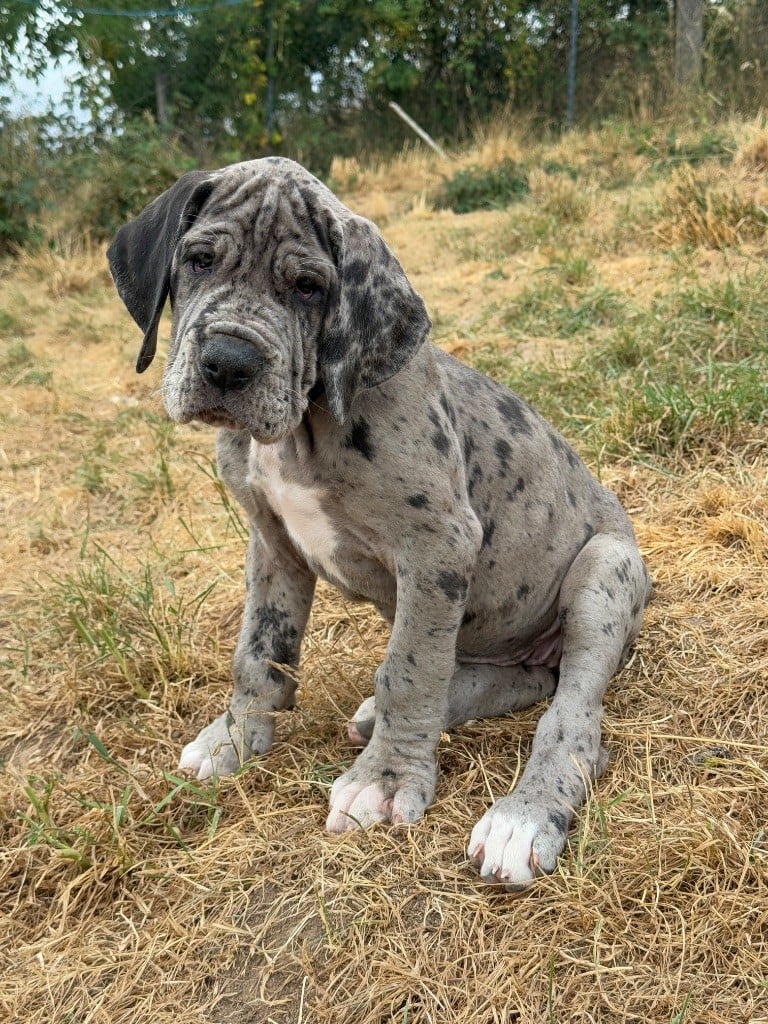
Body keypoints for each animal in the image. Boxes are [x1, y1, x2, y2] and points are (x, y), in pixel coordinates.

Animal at [108, 157, 650, 889]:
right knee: (518, 680)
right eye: (198, 260)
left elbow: (409, 670)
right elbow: (260, 650)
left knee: (571, 717)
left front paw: (386, 782)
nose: (227, 362)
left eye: (309, 288)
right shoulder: (271, 541)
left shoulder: (437, 548)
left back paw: (522, 817)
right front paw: (236, 736)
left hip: (604, 572)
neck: (303, 428)